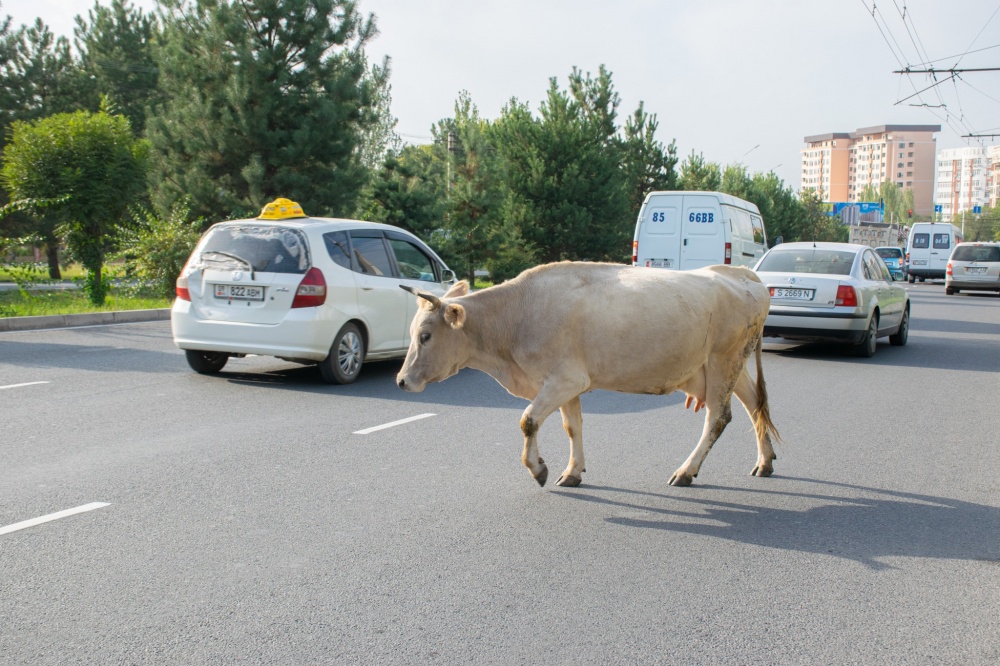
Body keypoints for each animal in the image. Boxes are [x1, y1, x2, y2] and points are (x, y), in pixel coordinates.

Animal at [396, 260, 780, 488]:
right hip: (726, 366)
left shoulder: (563, 380)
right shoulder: (569, 385)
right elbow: (572, 427)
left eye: (425, 335)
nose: (401, 381)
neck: (516, 317)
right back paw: (764, 462)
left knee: (718, 417)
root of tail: (740, 272)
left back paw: (686, 471)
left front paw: (538, 469)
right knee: (755, 404)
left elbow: (527, 421)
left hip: (723, 361)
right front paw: (572, 471)